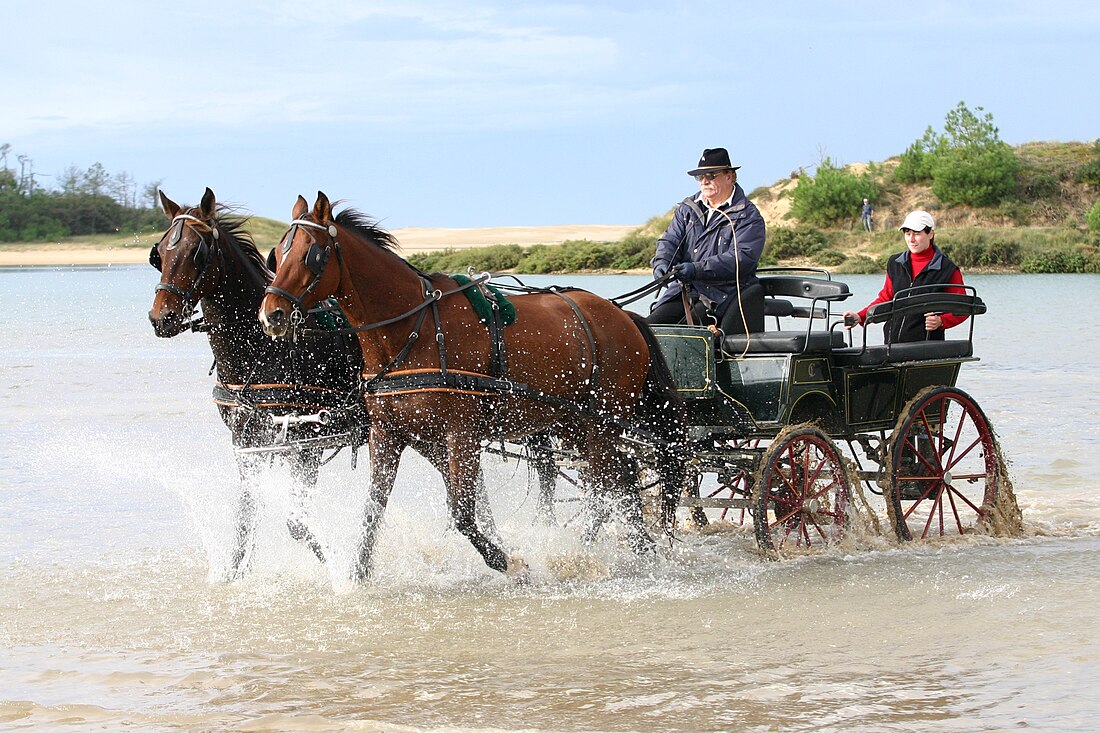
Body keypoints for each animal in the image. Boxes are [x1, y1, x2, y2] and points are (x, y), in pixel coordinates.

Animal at [260, 191, 682, 581]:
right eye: (277, 255)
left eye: (312, 255)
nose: (271, 316)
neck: (413, 329)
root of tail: (622, 316)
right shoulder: (388, 433)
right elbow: (374, 508)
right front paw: (357, 575)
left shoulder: (460, 433)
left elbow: (462, 512)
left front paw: (508, 562)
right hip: (574, 423)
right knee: (618, 481)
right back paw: (630, 550)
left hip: (602, 422)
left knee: (613, 483)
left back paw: (621, 551)